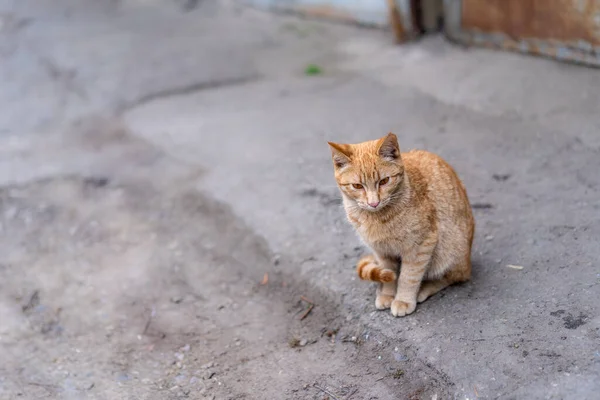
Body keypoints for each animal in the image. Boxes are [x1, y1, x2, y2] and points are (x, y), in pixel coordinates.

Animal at [328, 133, 474, 318]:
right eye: (357, 186)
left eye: (384, 181)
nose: (374, 203)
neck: (376, 217)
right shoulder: (382, 251)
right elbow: (390, 274)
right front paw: (387, 294)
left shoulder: (420, 245)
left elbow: (408, 276)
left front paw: (403, 300)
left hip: (450, 250)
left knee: (454, 276)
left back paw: (424, 289)